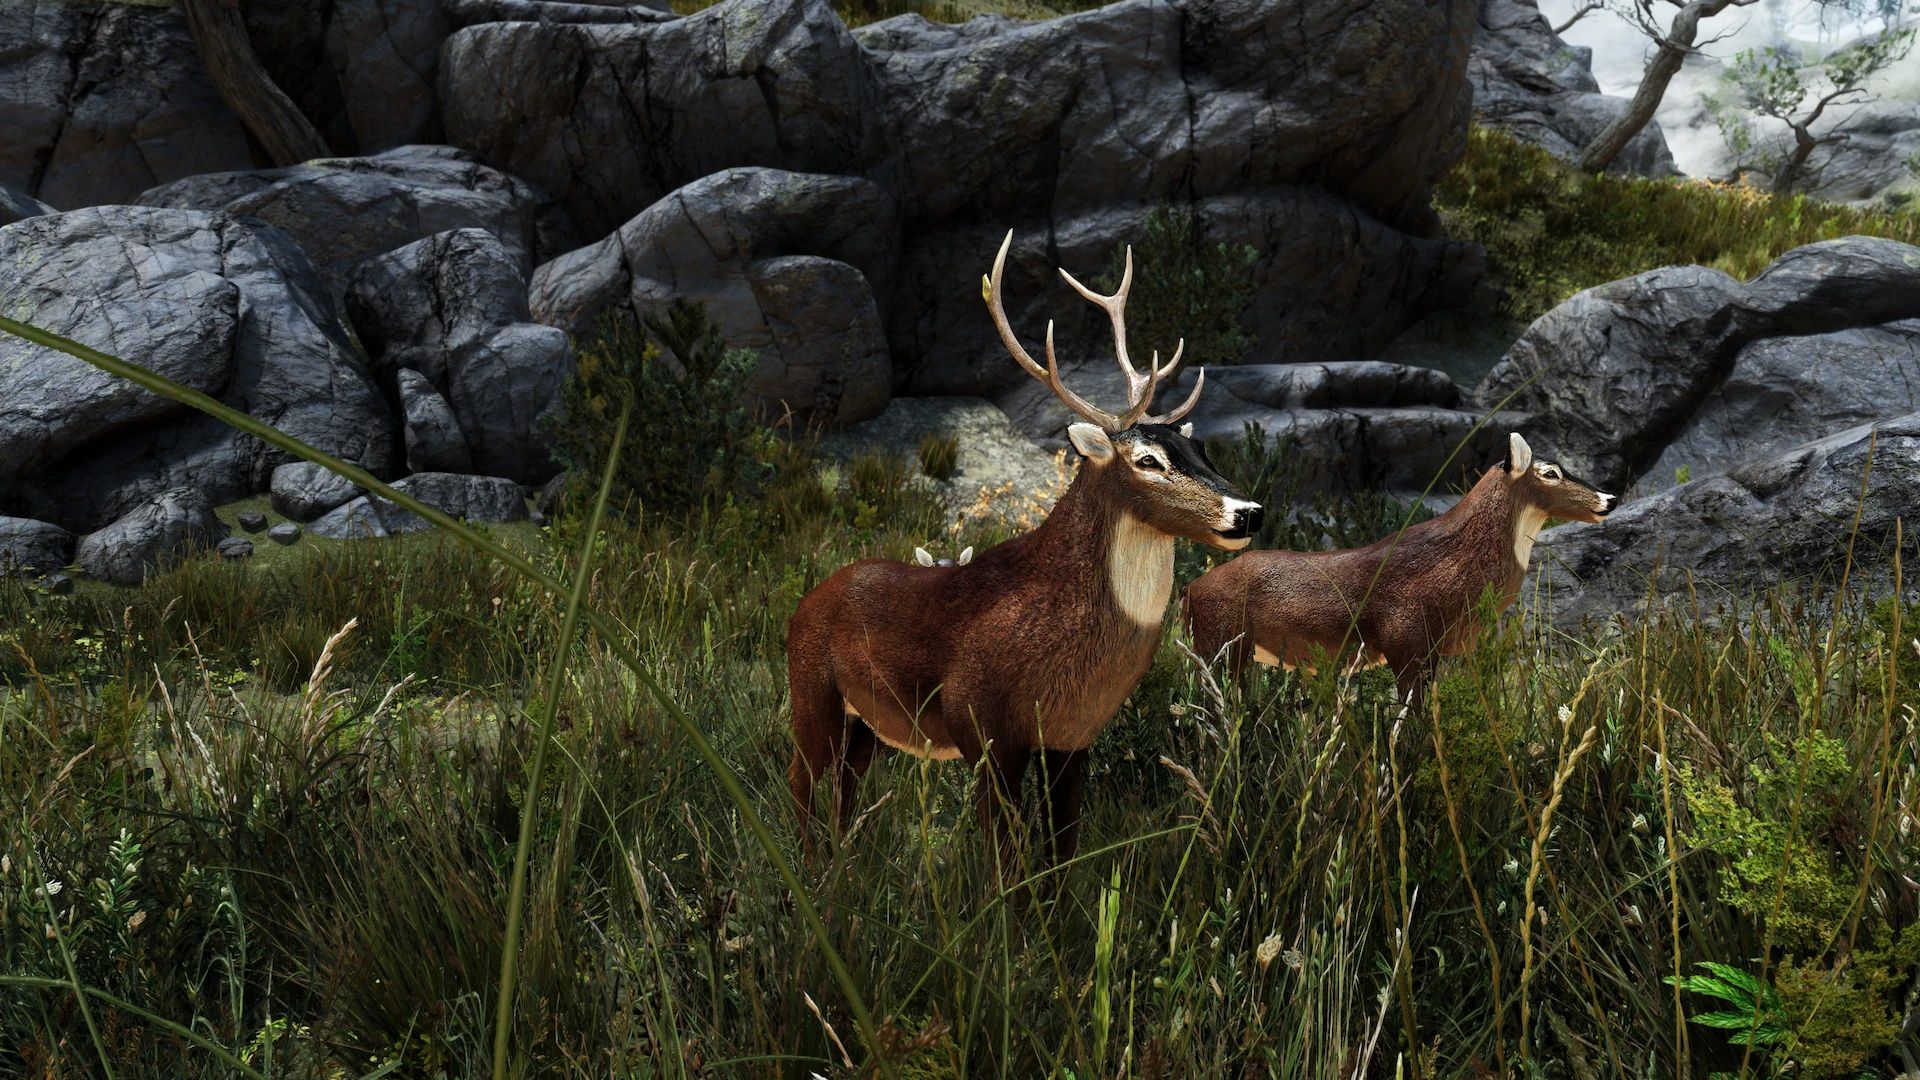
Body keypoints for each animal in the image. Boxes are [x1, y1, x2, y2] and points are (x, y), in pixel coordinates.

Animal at [785, 231, 1263, 884]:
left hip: (870, 723)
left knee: (843, 789)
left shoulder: (1071, 739)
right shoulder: (980, 724)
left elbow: (1061, 855)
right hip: (811, 689)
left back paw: (841, 874)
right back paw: (810, 881)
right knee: (801, 781)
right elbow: (1006, 863)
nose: (1249, 511)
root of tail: (804, 602)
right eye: (1147, 460)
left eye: (1201, 449)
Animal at [1181, 433, 1615, 714]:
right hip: (1221, 643)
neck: (1456, 568)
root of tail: (1188, 593)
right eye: (1551, 472)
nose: (1609, 498)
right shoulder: (1405, 639)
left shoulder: (1432, 653)